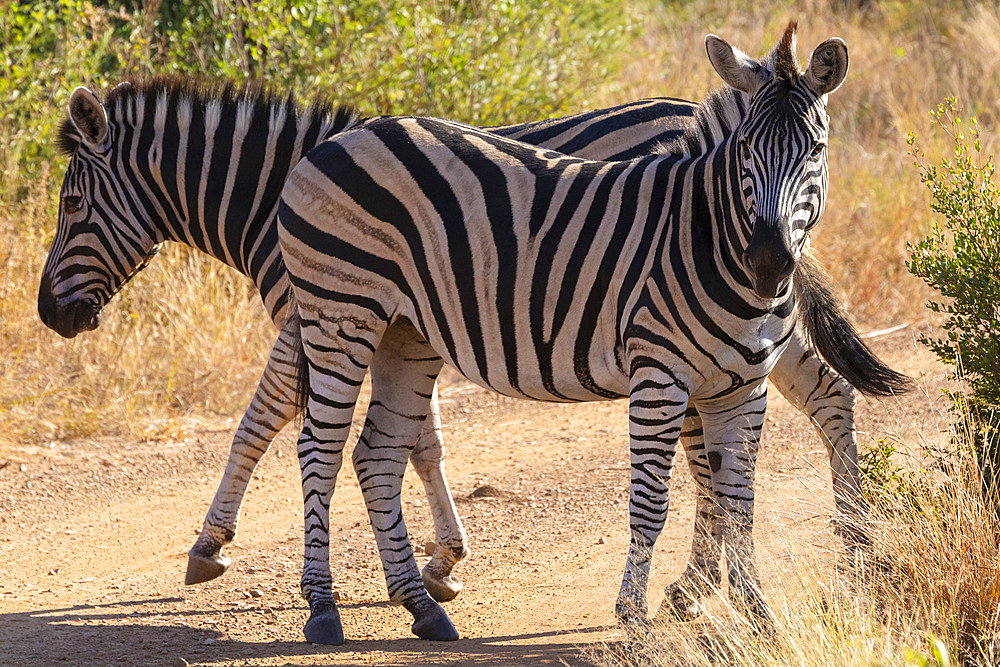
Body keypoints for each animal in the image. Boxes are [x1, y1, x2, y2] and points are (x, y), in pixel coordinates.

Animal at [276, 23, 860, 644]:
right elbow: (651, 502)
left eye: (816, 150)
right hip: (340, 312)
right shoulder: (660, 375)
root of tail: (341, 138)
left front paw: (757, 616)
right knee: (319, 450)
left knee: (378, 454)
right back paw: (323, 609)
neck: (704, 237)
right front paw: (632, 615)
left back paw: (423, 608)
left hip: (404, 333)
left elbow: (738, 501)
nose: (769, 262)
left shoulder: (744, 388)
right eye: (745, 148)